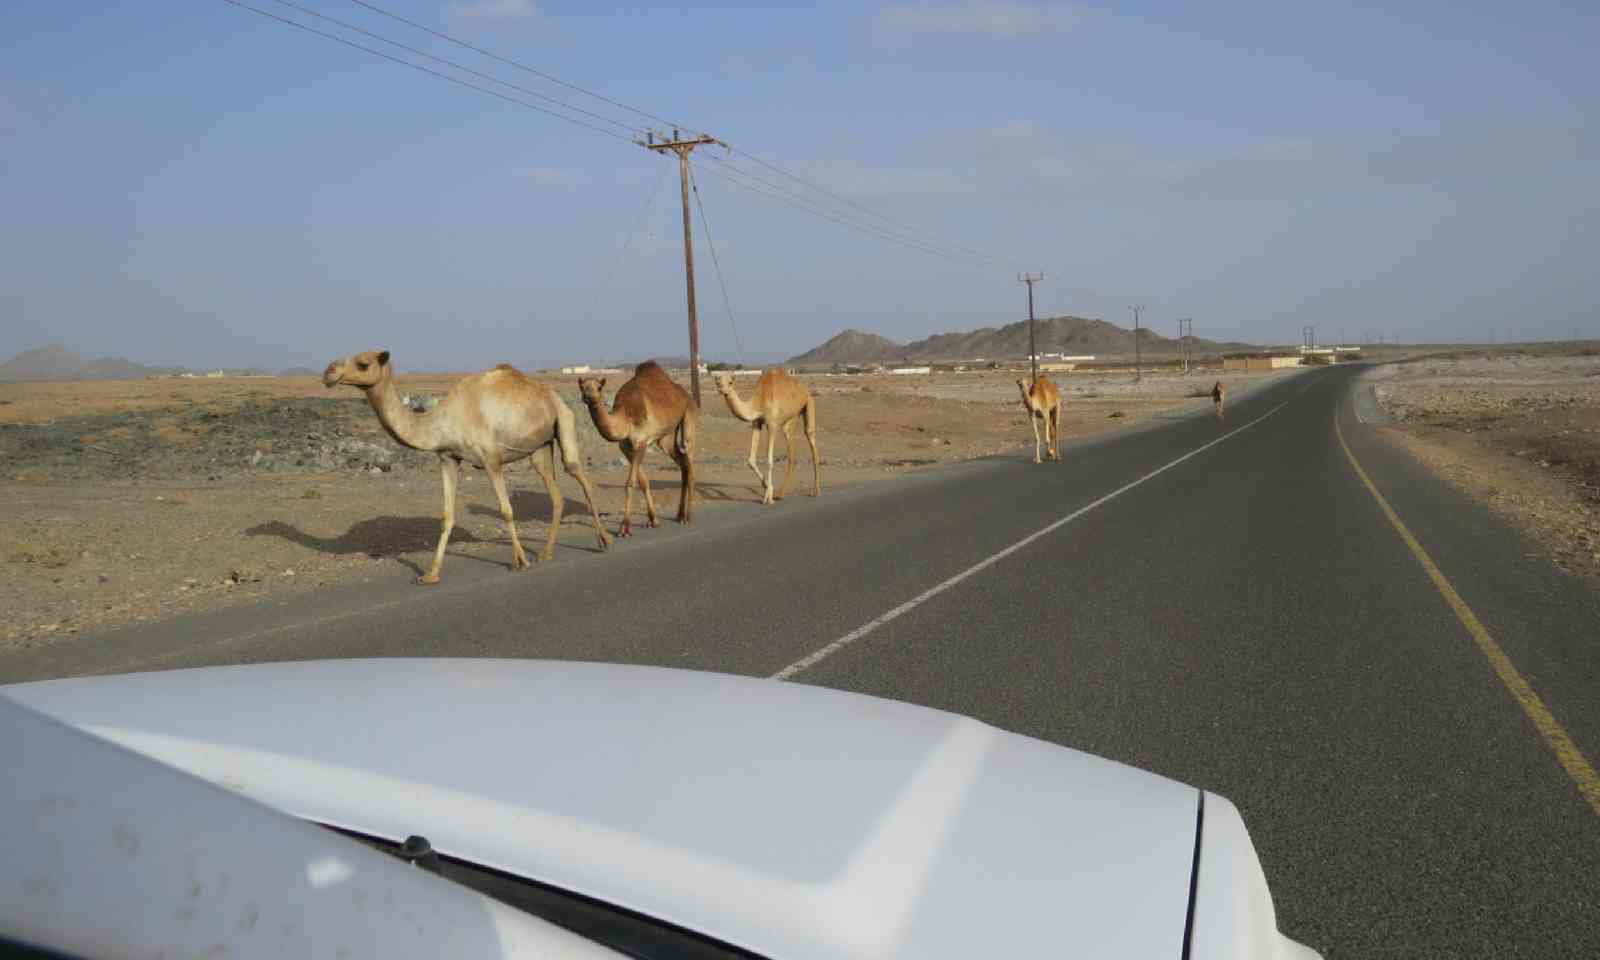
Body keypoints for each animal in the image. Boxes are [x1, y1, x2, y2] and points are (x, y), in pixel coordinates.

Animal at [321, 348, 608, 582]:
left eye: (363, 363)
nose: (328, 372)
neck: (442, 422)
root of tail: (552, 395)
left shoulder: (491, 459)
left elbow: (506, 510)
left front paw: (520, 560)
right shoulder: (448, 458)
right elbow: (447, 516)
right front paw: (431, 574)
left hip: (565, 420)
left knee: (579, 474)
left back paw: (604, 539)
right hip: (540, 447)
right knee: (556, 495)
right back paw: (547, 553)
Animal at [579, 361, 697, 537]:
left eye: (598, 387)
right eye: (582, 386)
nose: (588, 396)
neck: (625, 417)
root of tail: (686, 395)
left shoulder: (640, 443)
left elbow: (630, 483)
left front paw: (624, 528)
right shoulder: (626, 447)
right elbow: (643, 482)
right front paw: (653, 520)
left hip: (689, 417)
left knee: (689, 462)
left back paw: (688, 516)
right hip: (666, 437)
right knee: (683, 465)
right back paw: (680, 514)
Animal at [713, 368, 819, 505]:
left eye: (730, 382)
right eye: (718, 382)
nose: (722, 390)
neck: (759, 401)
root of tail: (804, 390)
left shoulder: (772, 425)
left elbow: (769, 461)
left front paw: (769, 498)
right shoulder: (756, 423)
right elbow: (751, 460)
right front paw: (769, 489)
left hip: (809, 403)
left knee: (810, 436)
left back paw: (816, 491)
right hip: (789, 420)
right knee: (791, 453)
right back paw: (781, 493)